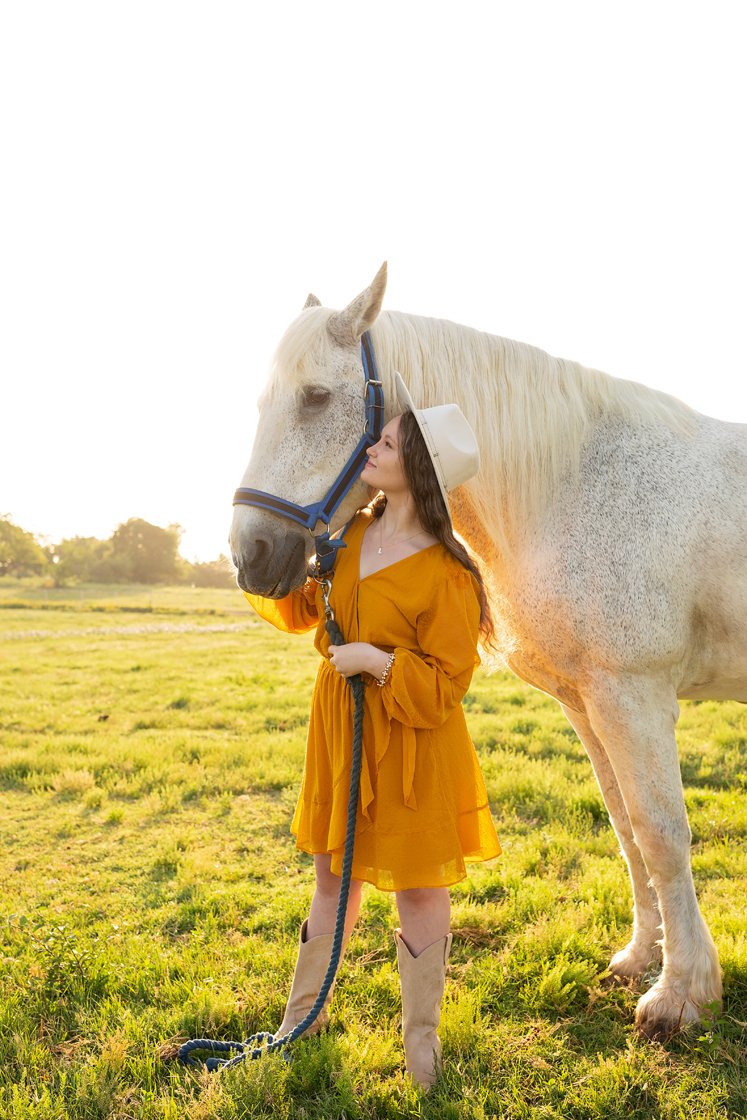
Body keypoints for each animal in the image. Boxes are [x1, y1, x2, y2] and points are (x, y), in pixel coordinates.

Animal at [229, 264, 747, 1039]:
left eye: (316, 396)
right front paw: (639, 958)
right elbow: (625, 826)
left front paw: (680, 994)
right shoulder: (588, 702)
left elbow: (661, 833)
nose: (250, 556)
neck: (571, 484)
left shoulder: (634, 693)